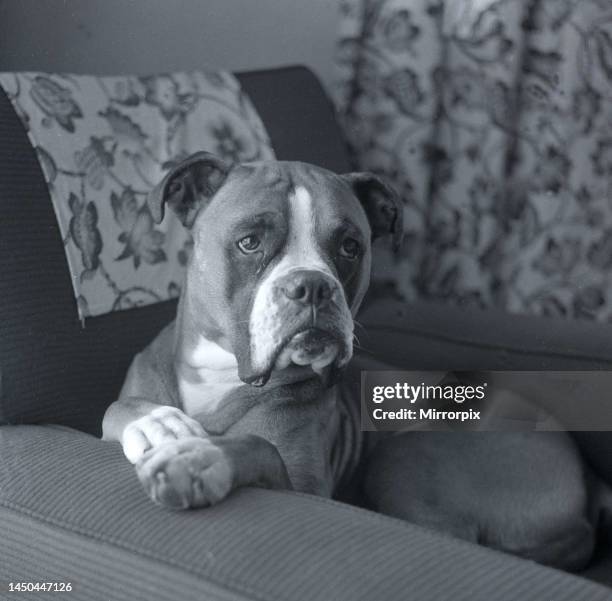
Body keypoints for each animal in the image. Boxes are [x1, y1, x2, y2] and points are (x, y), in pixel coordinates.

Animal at [103, 152, 600, 568]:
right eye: (249, 243)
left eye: (350, 246)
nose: (313, 286)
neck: (220, 375)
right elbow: (117, 408)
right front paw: (157, 423)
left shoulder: (310, 491)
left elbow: (259, 448)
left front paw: (201, 458)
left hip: (410, 455)